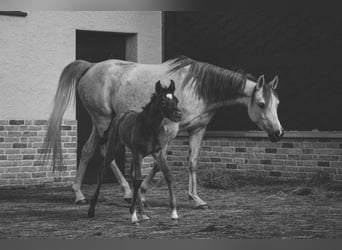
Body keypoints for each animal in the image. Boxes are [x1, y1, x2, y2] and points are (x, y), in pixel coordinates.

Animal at [87, 80, 182, 225]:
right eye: (163, 102)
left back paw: (143, 214)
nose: (178, 115)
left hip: (132, 153)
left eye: (176, 100)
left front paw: (174, 213)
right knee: (103, 170)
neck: (149, 128)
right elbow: (138, 179)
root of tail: (120, 116)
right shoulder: (139, 153)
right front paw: (133, 216)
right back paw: (91, 210)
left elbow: (168, 176)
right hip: (114, 147)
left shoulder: (157, 153)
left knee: (131, 174)